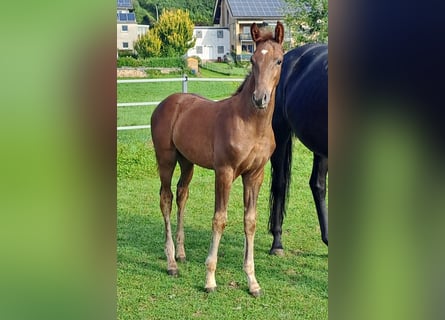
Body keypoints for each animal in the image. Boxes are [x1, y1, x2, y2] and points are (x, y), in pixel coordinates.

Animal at [151, 23, 282, 298]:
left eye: (278, 60)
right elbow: (219, 219)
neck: (251, 124)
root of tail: (166, 103)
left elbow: (250, 221)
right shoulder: (224, 172)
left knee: (182, 195)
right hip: (166, 159)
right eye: (253, 60)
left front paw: (253, 282)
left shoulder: (255, 175)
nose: (260, 98)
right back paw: (171, 263)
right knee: (166, 198)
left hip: (187, 162)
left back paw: (181, 253)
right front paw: (210, 279)